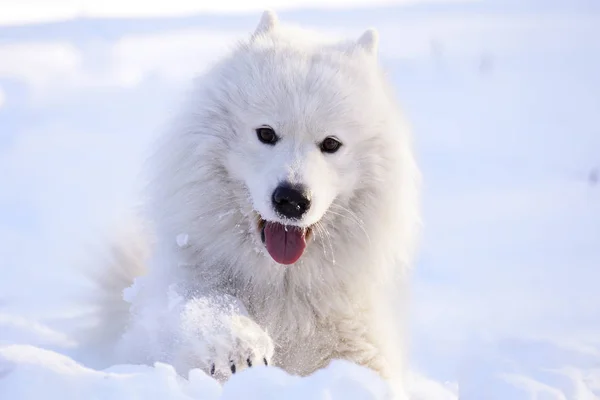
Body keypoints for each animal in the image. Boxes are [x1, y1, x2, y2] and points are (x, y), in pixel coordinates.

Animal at [83, 10, 422, 400]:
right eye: (266, 134)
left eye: (331, 144)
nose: (291, 200)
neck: (281, 286)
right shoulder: (187, 284)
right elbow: (209, 303)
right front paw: (242, 348)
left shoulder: (361, 349)